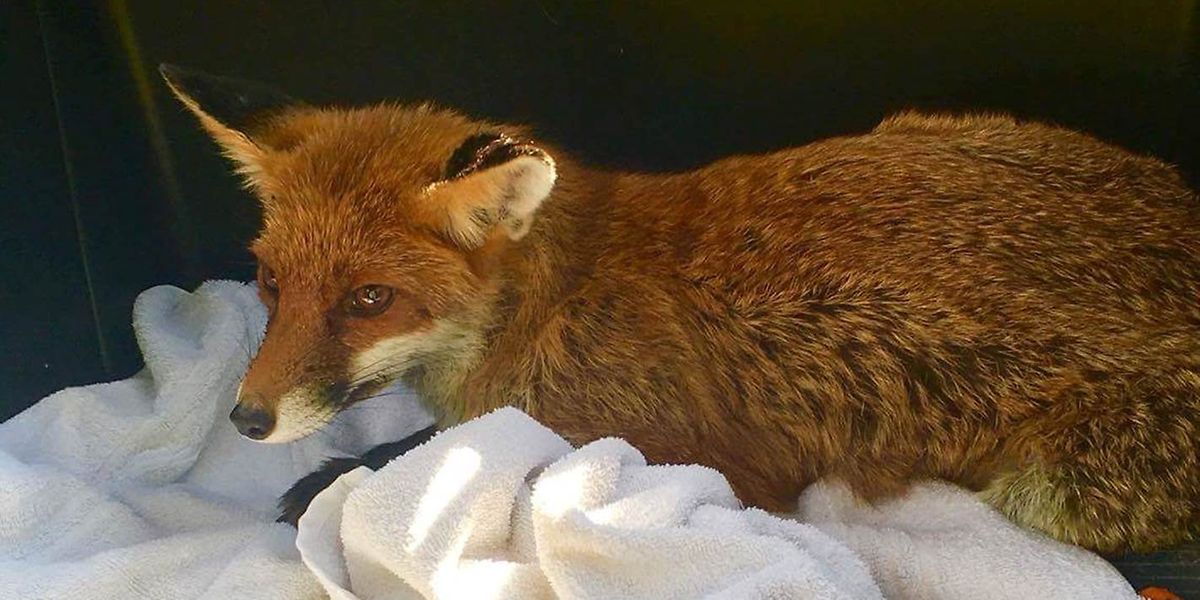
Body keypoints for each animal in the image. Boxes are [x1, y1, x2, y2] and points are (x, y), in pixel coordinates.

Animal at [159, 64, 1200, 554]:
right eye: (270, 284)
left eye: (369, 299)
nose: (246, 420)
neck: (553, 304)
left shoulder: (700, 459)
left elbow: (452, 451)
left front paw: (336, 480)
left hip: (1057, 492)